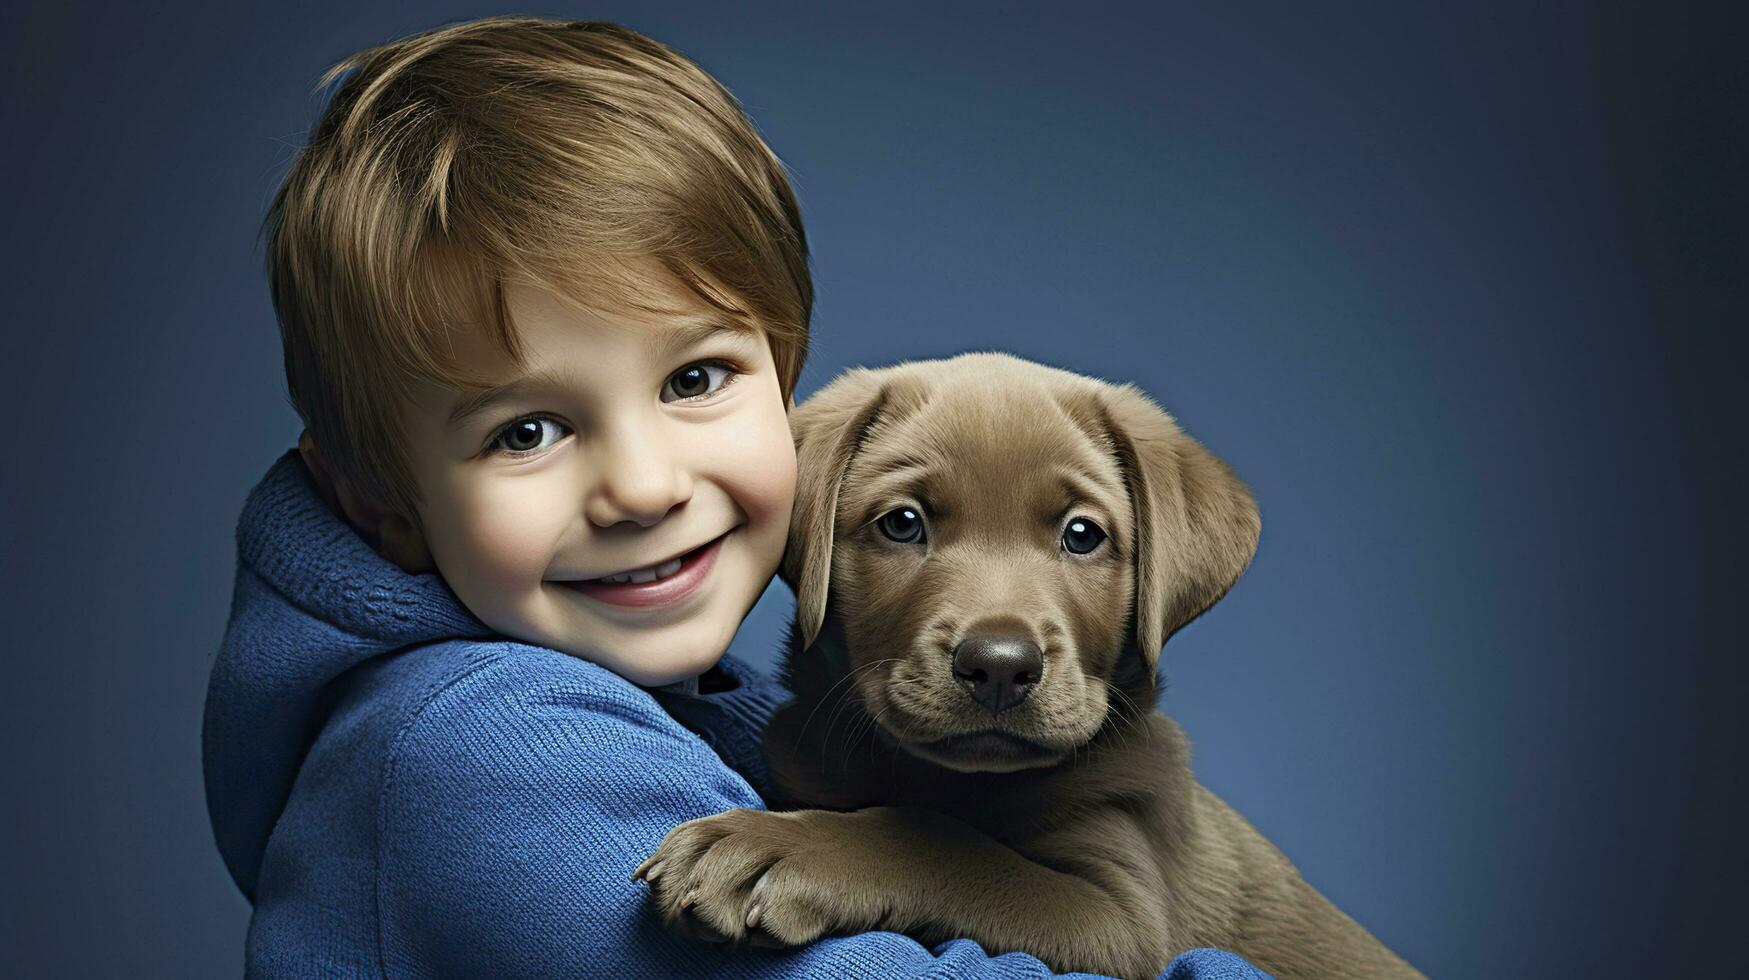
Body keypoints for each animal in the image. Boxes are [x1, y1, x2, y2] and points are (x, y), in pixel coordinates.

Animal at [636, 353, 1427, 980]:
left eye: (1082, 534)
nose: (998, 666)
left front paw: (776, 849)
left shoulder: (1124, 920)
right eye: (902, 523)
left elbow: (945, 843)